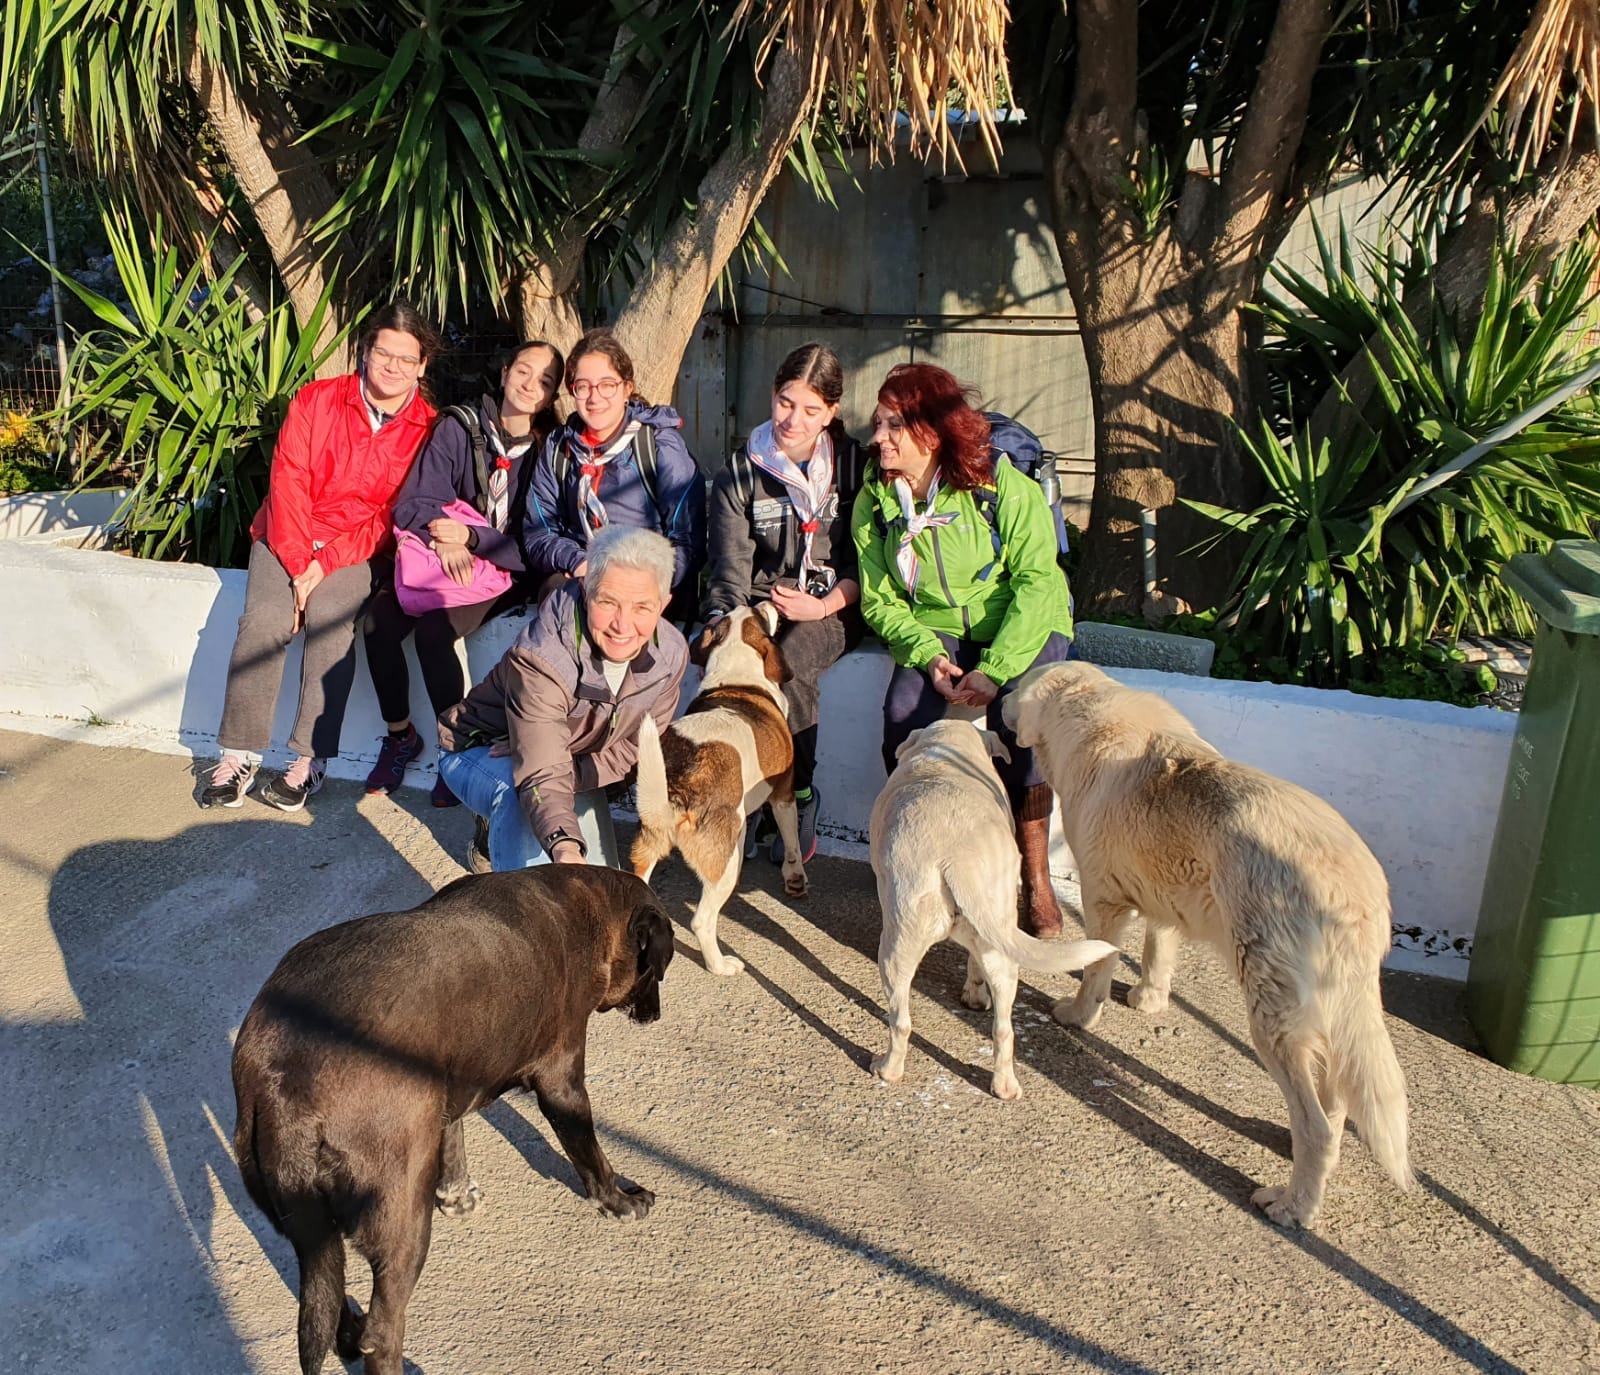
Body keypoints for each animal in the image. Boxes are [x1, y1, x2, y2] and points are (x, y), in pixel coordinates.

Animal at [231, 866, 674, 1375]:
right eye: (656, 969)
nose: (655, 1014)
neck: (585, 905)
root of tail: (281, 1085)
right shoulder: (562, 1083)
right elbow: (590, 1154)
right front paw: (619, 1200)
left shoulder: (447, 1088)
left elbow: (453, 1136)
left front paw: (457, 1193)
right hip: (401, 1216)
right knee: (382, 1334)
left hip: (311, 1229)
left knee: (327, 1289)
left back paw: (346, 1334)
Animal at [632, 602, 807, 976]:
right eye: (761, 616)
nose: (768, 602)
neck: (736, 675)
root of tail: (679, 785)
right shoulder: (783, 795)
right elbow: (792, 844)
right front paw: (795, 877)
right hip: (726, 864)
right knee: (701, 921)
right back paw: (720, 965)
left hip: (645, 850)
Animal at [869, 719, 1116, 1099]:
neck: (948, 749)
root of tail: (957, 859)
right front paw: (973, 994)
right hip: (1001, 947)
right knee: (1004, 1028)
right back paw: (1004, 1084)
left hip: (897, 948)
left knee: (901, 1022)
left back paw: (887, 1068)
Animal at [1003, 661, 1413, 1227]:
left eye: (1017, 686)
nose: (997, 695)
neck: (1087, 706)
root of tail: (1352, 886)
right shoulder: (1166, 896)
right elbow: (1157, 951)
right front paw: (1149, 999)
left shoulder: (1102, 899)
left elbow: (1097, 969)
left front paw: (1080, 1015)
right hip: (1329, 1009)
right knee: (1334, 1099)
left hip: (1273, 1014)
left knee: (1318, 1126)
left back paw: (1293, 1204)